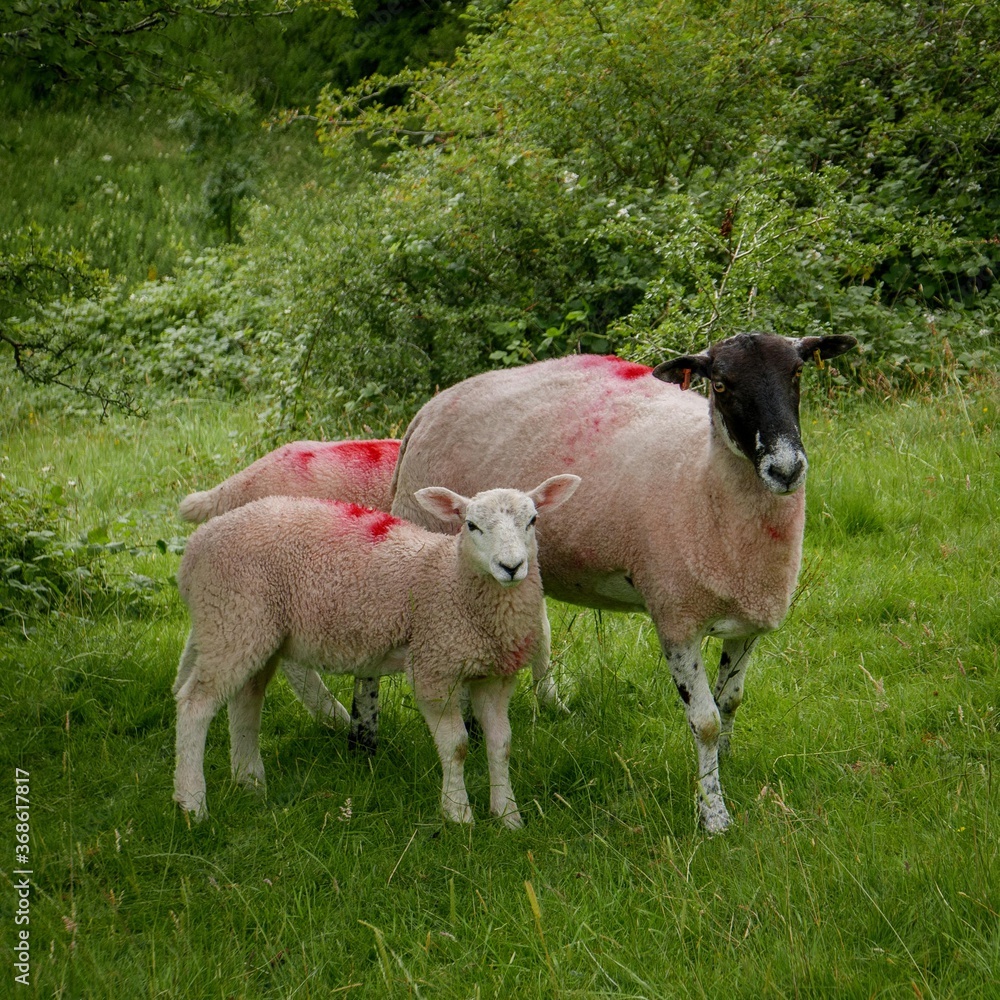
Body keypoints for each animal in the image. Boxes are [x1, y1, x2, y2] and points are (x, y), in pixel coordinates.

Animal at [172, 475, 581, 827]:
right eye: (471, 526)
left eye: (532, 520)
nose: (511, 566)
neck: (449, 578)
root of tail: (194, 548)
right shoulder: (433, 667)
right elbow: (457, 747)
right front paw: (458, 814)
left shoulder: (494, 675)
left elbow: (501, 746)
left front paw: (508, 816)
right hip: (232, 617)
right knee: (195, 705)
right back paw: (193, 804)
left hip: (256, 632)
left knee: (246, 700)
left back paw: (250, 782)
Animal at [387, 332, 858, 833]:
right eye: (721, 385)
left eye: (797, 372)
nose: (785, 470)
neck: (701, 479)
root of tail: (429, 409)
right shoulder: (676, 617)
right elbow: (705, 721)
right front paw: (713, 812)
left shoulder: (747, 617)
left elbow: (731, 699)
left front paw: (726, 764)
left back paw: (542, 711)